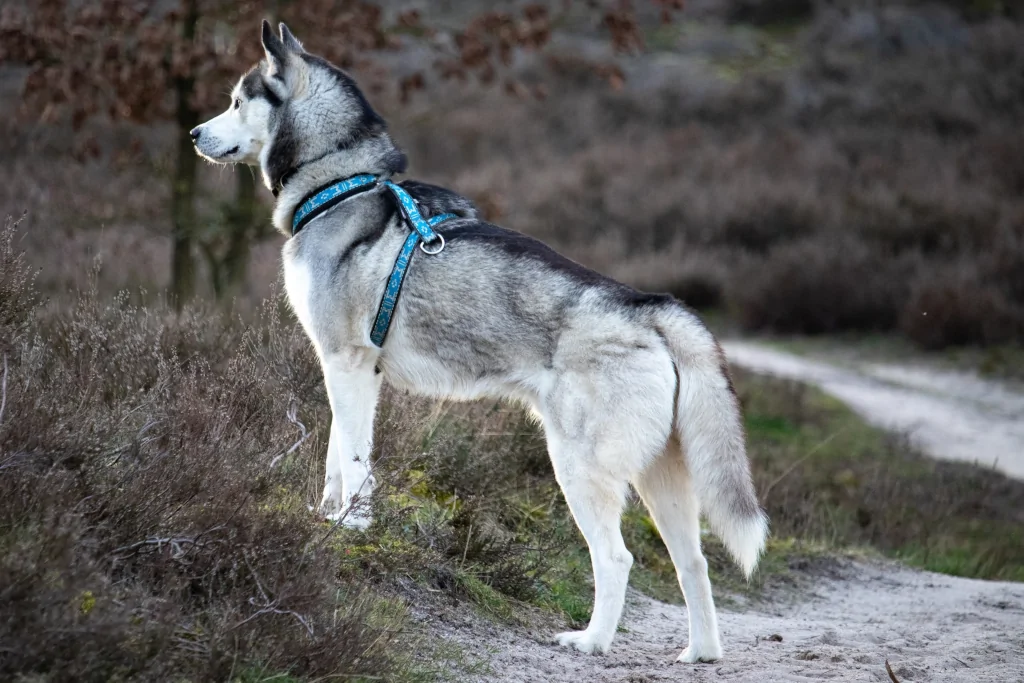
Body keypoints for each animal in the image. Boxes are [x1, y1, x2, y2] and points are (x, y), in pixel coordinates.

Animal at [192, 20, 770, 663]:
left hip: (578, 465)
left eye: (235, 102)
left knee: (617, 558)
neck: (342, 184)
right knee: (693, 563)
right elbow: (335, 457)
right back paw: (701, 652)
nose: (193, 133)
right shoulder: (350, 372)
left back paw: (591, 640)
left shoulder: (347, 363)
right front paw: (326, 517)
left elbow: (354, 459)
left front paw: (352, 527)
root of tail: (649, 307)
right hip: (661, 480)